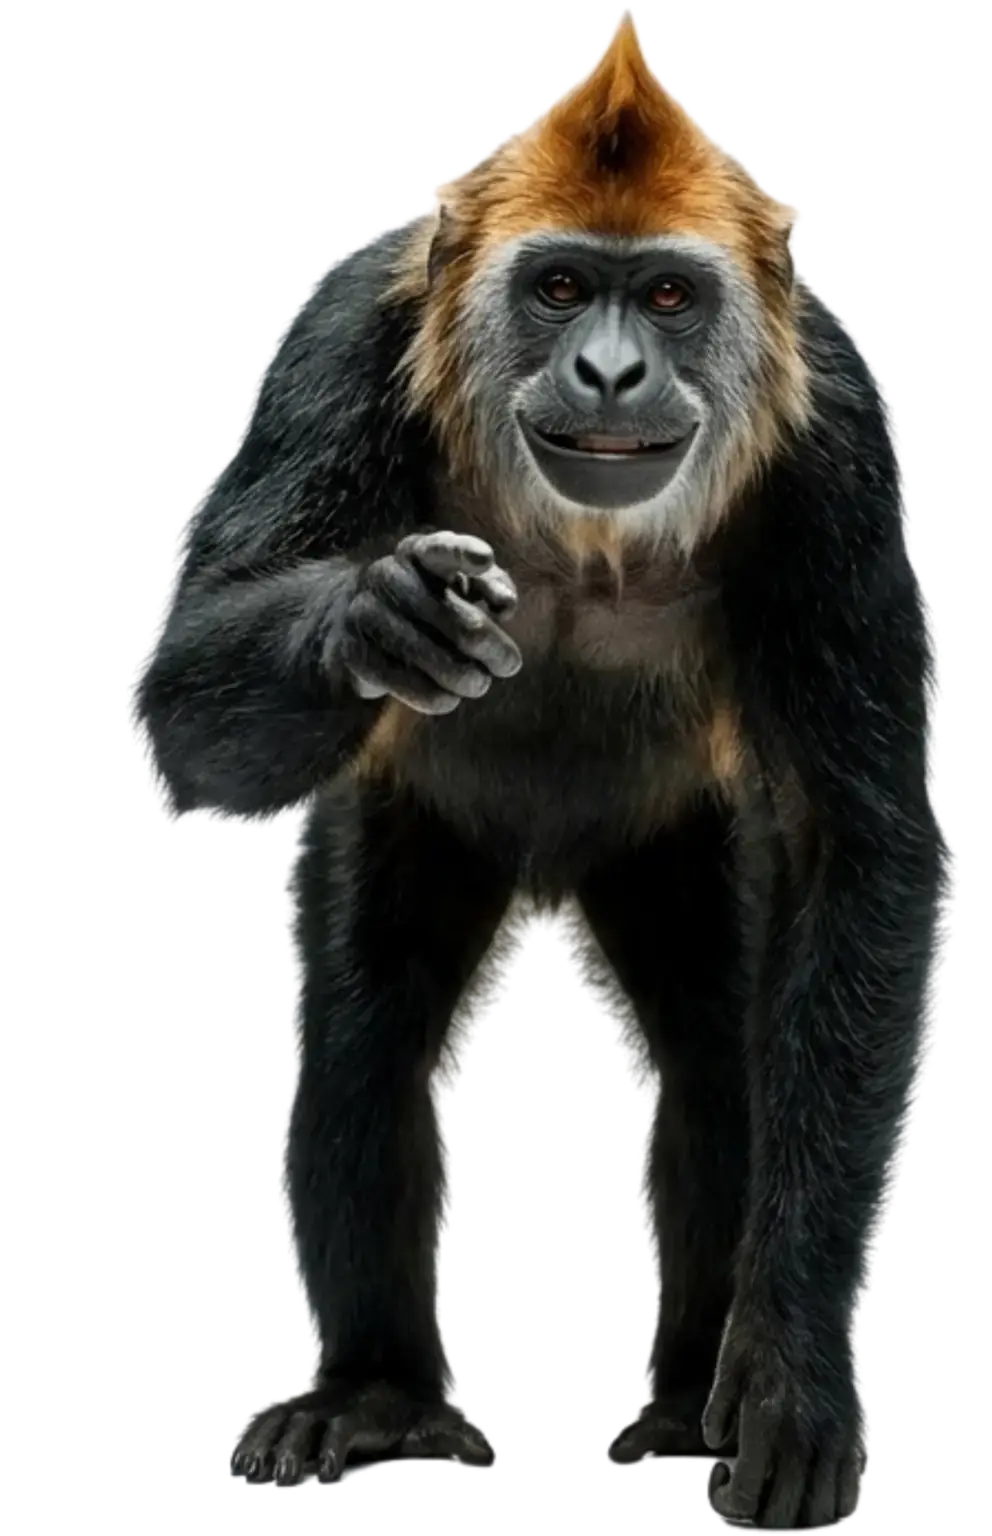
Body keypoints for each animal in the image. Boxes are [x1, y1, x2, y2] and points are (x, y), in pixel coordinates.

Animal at [132, 11, 953, 1528]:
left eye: (671, 299)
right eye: (562, 287)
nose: (611, 372)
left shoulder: (839, 434)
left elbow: (858, 847)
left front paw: (795, 1365)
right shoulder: (342, 332)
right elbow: (181, 714)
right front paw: (368, 618)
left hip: (673, 836)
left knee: (716, 1060)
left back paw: (687, 1402)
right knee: (367, 1035)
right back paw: (376, 1395)